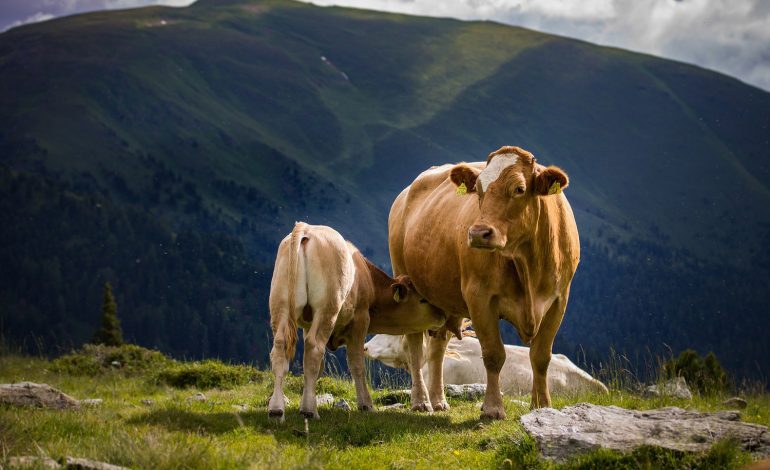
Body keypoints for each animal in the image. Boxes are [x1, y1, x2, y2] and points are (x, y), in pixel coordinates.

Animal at [268, 222, 444, 420]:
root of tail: (306, 229)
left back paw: (276, 409)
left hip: (280, 304)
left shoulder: (307, 324)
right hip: (327, 308)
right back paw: (309, 411)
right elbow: (357, 363)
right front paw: (366, 404)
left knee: (280, 348)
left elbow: (317, 367)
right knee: (314, 347)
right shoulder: (361, 320)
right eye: (423, 300)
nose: (443, 314)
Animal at [388, 147, 580, 418]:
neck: (527, 264)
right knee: (415, 347)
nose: (478, 233)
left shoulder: (559, 299)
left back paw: (438, 399)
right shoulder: (479, 297)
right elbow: (493, 354)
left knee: (438, 346)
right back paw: (421, 401)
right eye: (478, 189)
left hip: (443, 298)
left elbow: (541, 356)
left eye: (519, 188)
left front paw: (542, 405)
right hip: (406, 282)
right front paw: (492, 408)